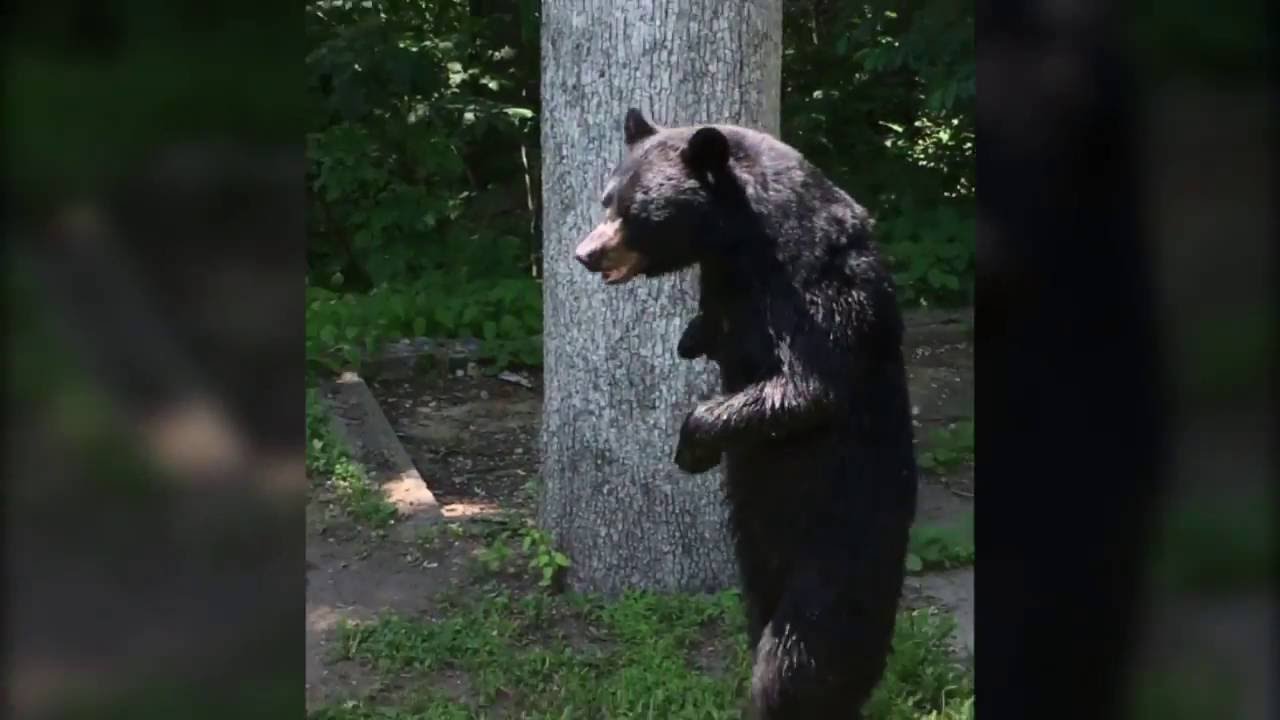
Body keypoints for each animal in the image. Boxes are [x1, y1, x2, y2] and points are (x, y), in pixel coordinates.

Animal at [574, 108, 919, 720]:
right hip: (756, 552)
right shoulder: (725, 281)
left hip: (841, 542)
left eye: (635, 212)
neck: (742, 241)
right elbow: (711, 334)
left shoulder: (813, 283)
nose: (585, 254)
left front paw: (691, 447)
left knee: (803, 652)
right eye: (606, 199)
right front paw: (695, 337)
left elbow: (809, 385)